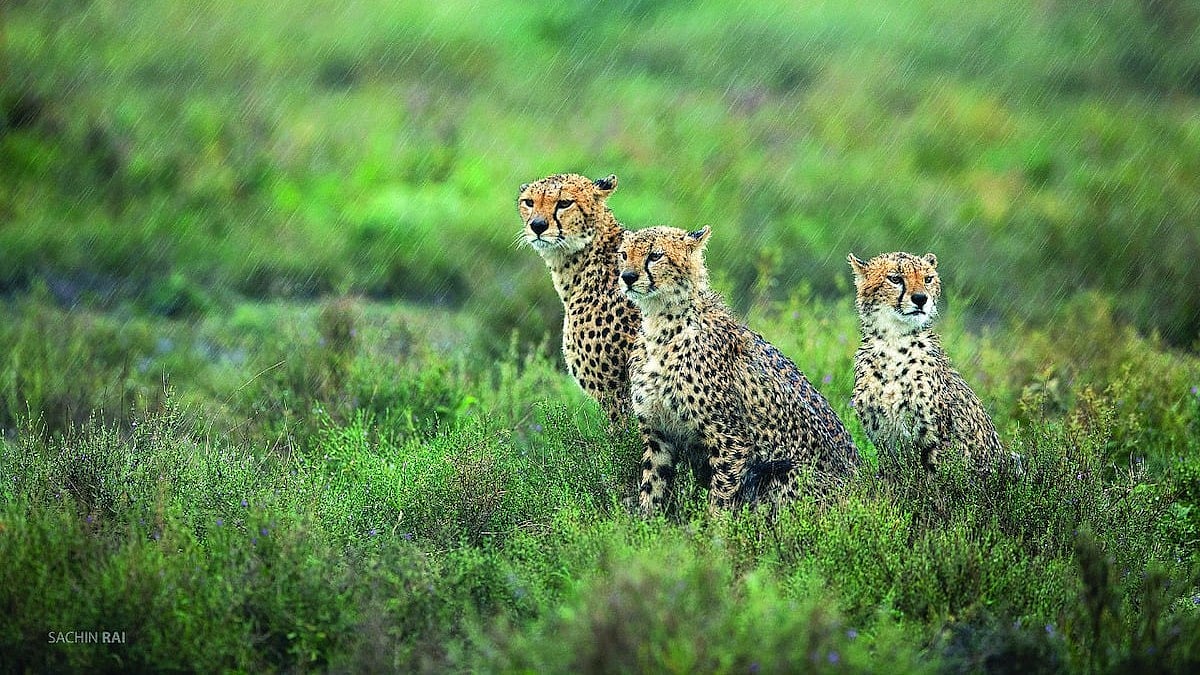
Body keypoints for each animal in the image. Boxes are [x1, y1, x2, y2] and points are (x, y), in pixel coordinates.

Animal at [619, 225, 860, 515]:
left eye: (655, 255)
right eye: (623, 254)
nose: (627, 277)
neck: (661, 326)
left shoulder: (730, 440)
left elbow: (721, 498)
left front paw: (713, 527)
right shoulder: (658, 435)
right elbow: (652, 487)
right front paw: (644, 522)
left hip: (785, 472)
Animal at [847, 251, 1010, 475]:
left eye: (928, 279)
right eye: (895, 279)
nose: (920, 299)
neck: (893, 342)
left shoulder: (937, 438)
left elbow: (941, 479)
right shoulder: (884, 438)